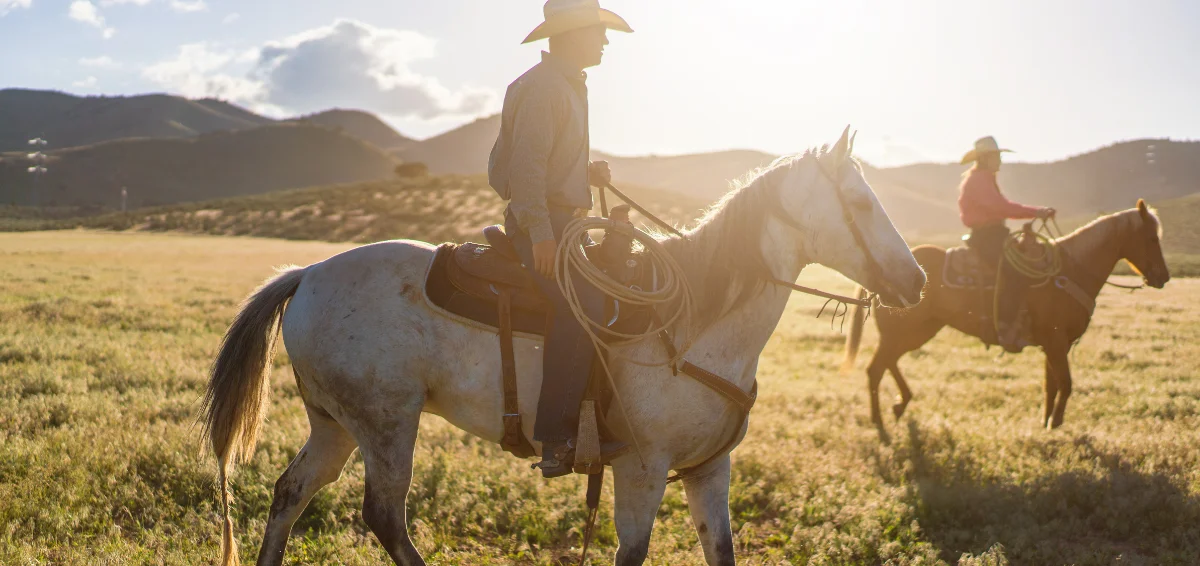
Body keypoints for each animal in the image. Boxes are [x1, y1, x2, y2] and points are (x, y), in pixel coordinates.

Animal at [201, 125, 921, 563]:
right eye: (860, 203)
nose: (915, 280)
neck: (696, 320)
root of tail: (308, 274)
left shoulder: (708, 469)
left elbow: (722, 550)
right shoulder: (641, 466)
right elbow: (631, 552)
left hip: (335, 424)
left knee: (291, 492)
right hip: (385, 422)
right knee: (384, 516)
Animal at [844, 199, 1171, 438]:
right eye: (1150, 238)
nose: (1163, 277)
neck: (1071, 270)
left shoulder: (1055, 345)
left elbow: (1051, 384)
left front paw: (1046, 421)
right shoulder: (1055, 341)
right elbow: (1066, 383)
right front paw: (1056, 421)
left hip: (917, 332)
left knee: (887, 363)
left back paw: (900, 404)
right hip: (903, 333)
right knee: (876, 369)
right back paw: (880, 422)